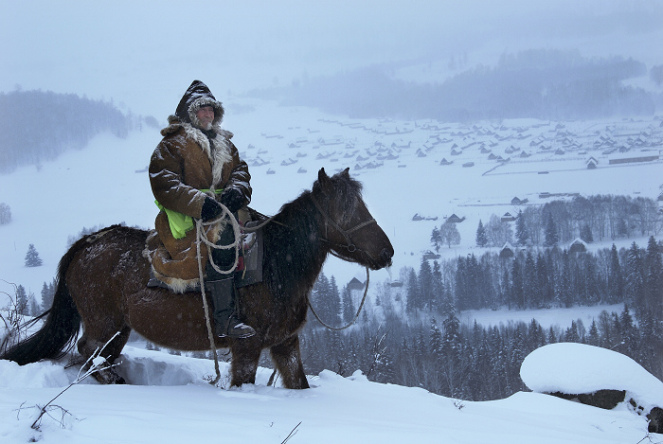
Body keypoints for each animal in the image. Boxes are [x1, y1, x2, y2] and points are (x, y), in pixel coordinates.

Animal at [1, 168, 394, 386]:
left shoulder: (285, 345)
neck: (275, 267)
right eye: (346, 210)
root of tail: (88, 244)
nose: (387, 253)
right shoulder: (247, 347)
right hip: (102, 323)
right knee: (88, 353)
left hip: (120, 329)